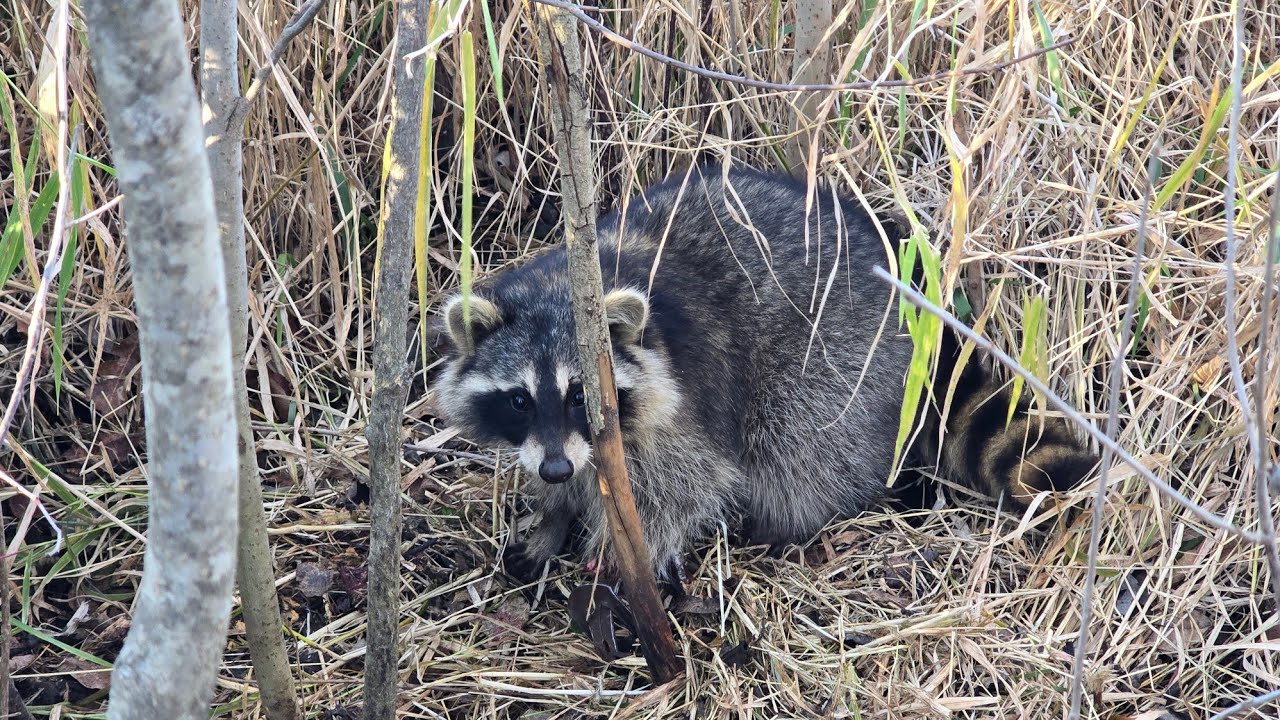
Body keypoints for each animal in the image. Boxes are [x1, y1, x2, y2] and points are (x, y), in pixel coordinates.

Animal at [431, 166, 1097, 581]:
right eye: (519, 400)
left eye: (579, 396)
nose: (556, 468)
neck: (559, 285)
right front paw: (553, 514)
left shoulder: (685, 406)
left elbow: (686, 485)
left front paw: (629, 547)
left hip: (837, 361)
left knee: (798, 446)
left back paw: (789, 522)